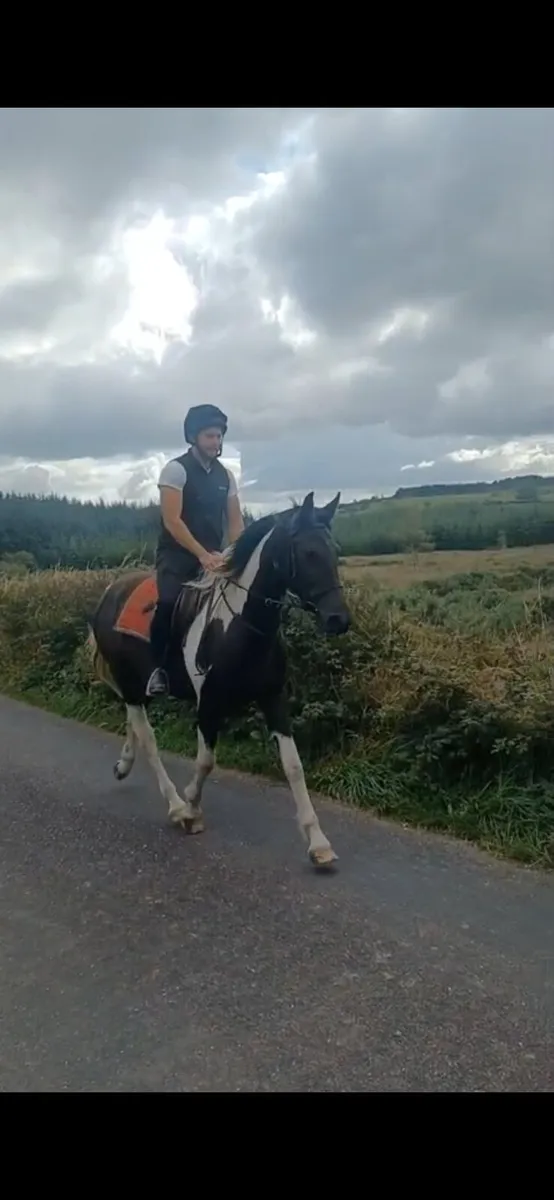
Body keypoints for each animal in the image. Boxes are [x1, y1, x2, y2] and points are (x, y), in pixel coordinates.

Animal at [89, 490, 351, 869]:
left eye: (334, 552)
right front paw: (191, 809)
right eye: (308, 553)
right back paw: (175, 805)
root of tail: (110, 593)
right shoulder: (208, 705)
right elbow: (206, 761)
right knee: (148, 738)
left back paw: (124, 765)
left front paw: (318, 842)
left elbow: (294, 766)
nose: (338, 619)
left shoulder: (273, 698)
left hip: (138, 685)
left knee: (133, 722)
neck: (240, 625)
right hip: (131, 682)